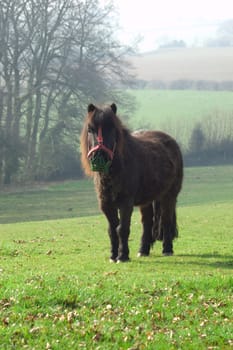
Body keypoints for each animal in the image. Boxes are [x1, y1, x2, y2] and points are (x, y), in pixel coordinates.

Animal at [81, 102, 183, 262]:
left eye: (112, 128)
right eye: (90, 129)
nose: (100, 158)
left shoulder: (126, 203)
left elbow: (122, 229)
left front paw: (122, 256)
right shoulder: (106, 205)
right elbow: (112, 230)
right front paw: (113, 255)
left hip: (169, 196)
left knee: (166, 220)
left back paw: (167, 249)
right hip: (146, 201)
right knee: (147, 223)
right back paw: (143, 250)